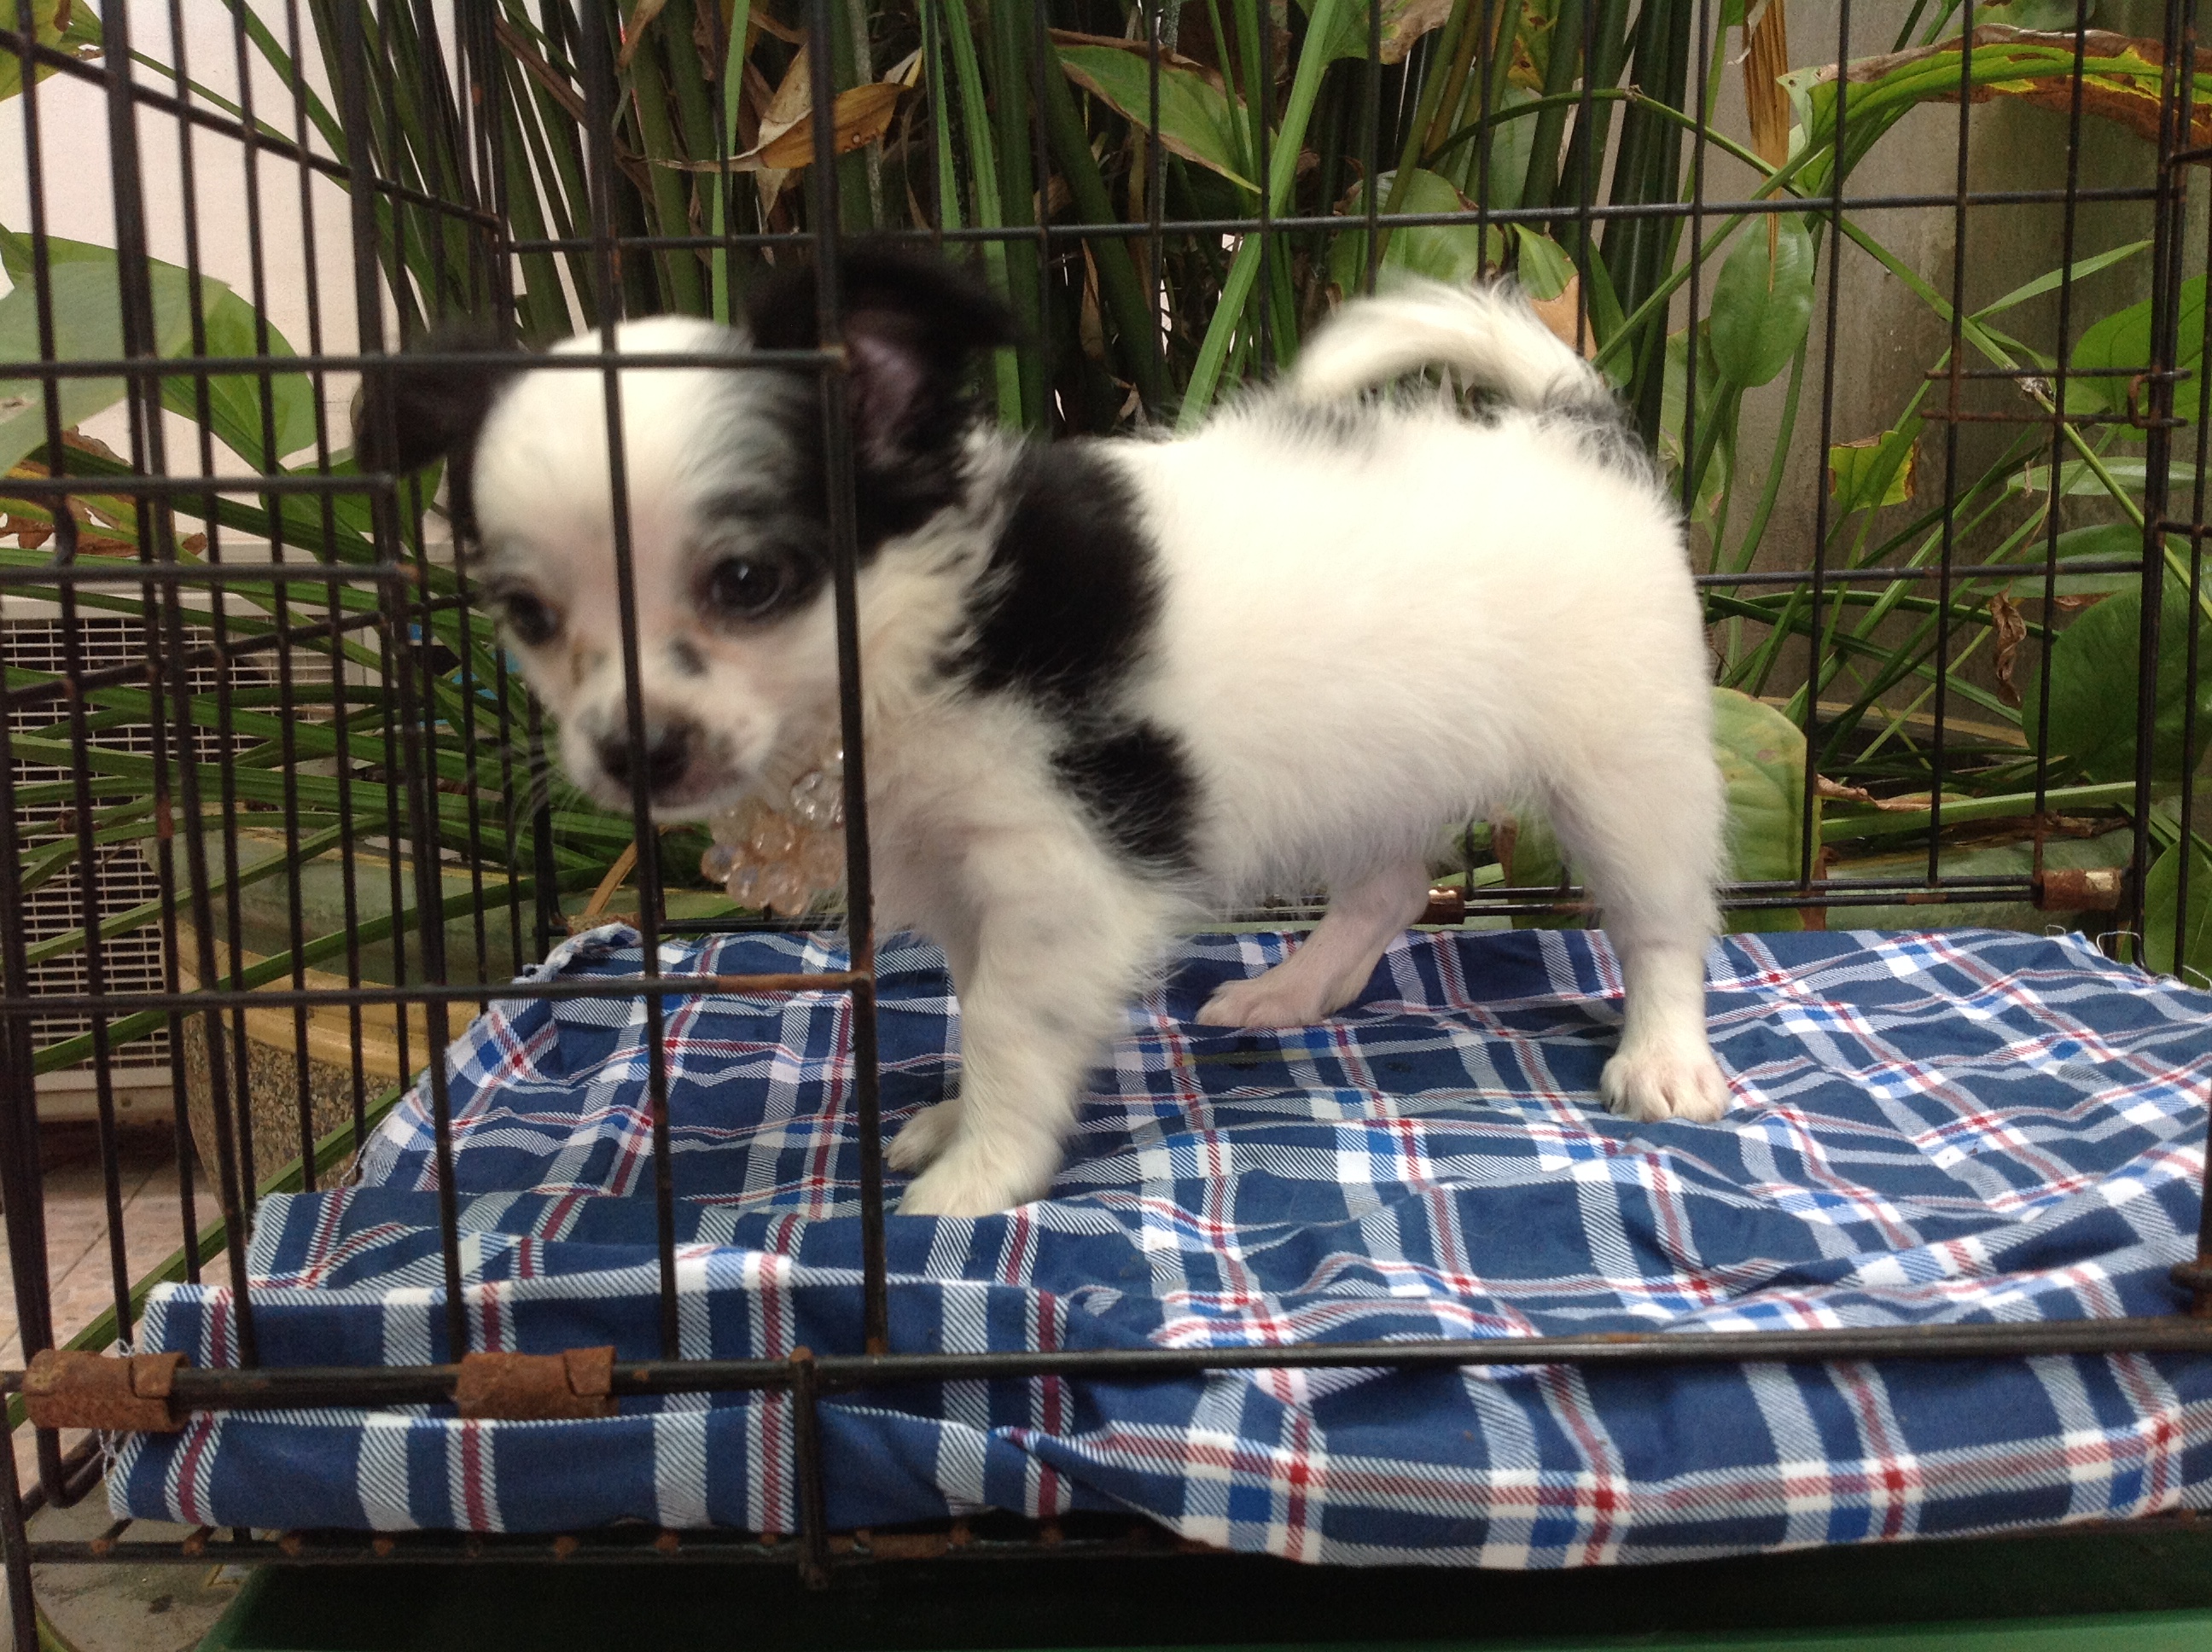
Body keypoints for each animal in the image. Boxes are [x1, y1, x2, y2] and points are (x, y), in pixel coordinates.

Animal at [358, 249, 1730, 1218]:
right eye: (529, 616)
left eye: (749, 581)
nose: (635, 748)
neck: (917, 624)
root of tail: (1570, 426)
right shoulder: (966, 880)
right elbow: (978, 1007)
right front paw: (961, 1121)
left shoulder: (1060, 870)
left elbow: (1014, 1025)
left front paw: (981, 1172)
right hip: (1379, 763)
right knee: (1390, 884)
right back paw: (1293, 987)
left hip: (1628, 761)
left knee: (1661, 921)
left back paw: (1665, 1058)